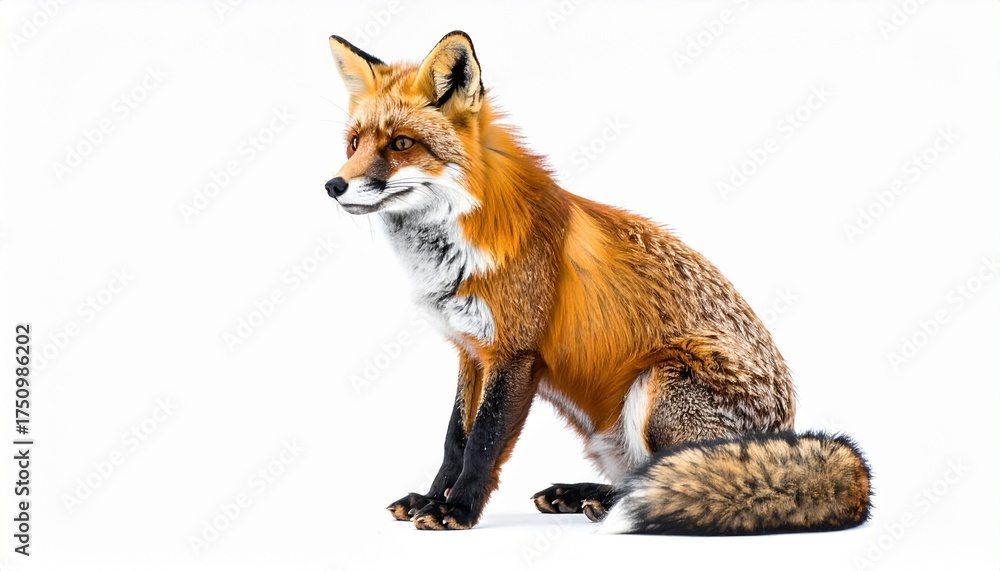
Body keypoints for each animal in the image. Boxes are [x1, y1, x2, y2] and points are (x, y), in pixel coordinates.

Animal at [324, 31, 871, 535]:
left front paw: (457, 509)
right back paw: (583, 494)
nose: (333, 185)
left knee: (676, 477)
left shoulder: (516, 351)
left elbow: (483, 440)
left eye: (401, 144)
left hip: (656, 388)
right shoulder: (470, 349)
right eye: (353, 143)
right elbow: (454, 440)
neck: (456, 247)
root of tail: (787, 428)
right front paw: (431, 497)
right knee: (647, 479)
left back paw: (611, 505)